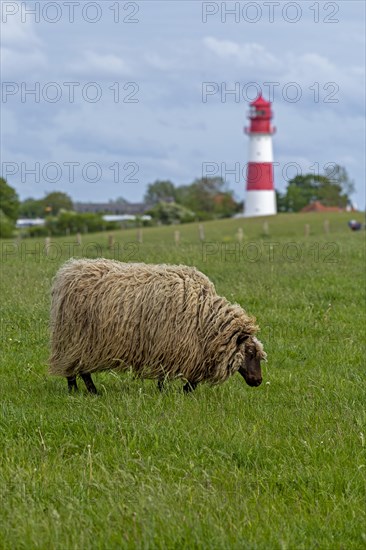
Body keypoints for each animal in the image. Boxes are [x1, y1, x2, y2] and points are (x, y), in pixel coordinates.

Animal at [49, 260, 266, 394]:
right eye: (249, 352)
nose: (258, 381)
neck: (204, 316)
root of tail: (68, 272)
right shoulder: (173, 346)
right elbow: (175, 377)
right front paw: (177, 392)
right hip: (76, 339)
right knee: (77, 369)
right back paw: (84, 391)